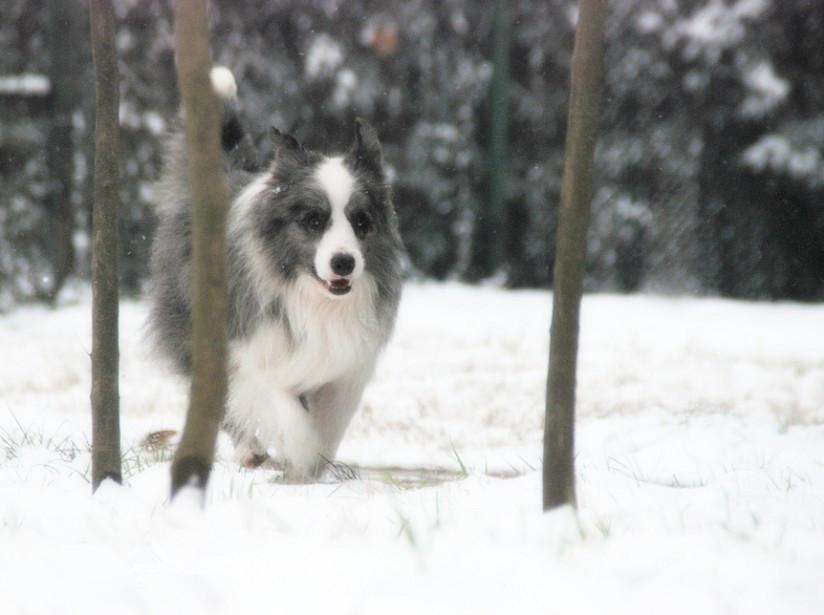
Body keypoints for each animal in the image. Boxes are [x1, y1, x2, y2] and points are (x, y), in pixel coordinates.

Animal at [150, 67, 406, 482]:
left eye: (361, 221)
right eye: (314, 220)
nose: (344, 263)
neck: (314, 296)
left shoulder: (345, 367)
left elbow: (329, 423)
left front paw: (317, 467)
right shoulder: (253, 351)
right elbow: (288, 416)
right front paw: (300, 462)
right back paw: (250, 451)